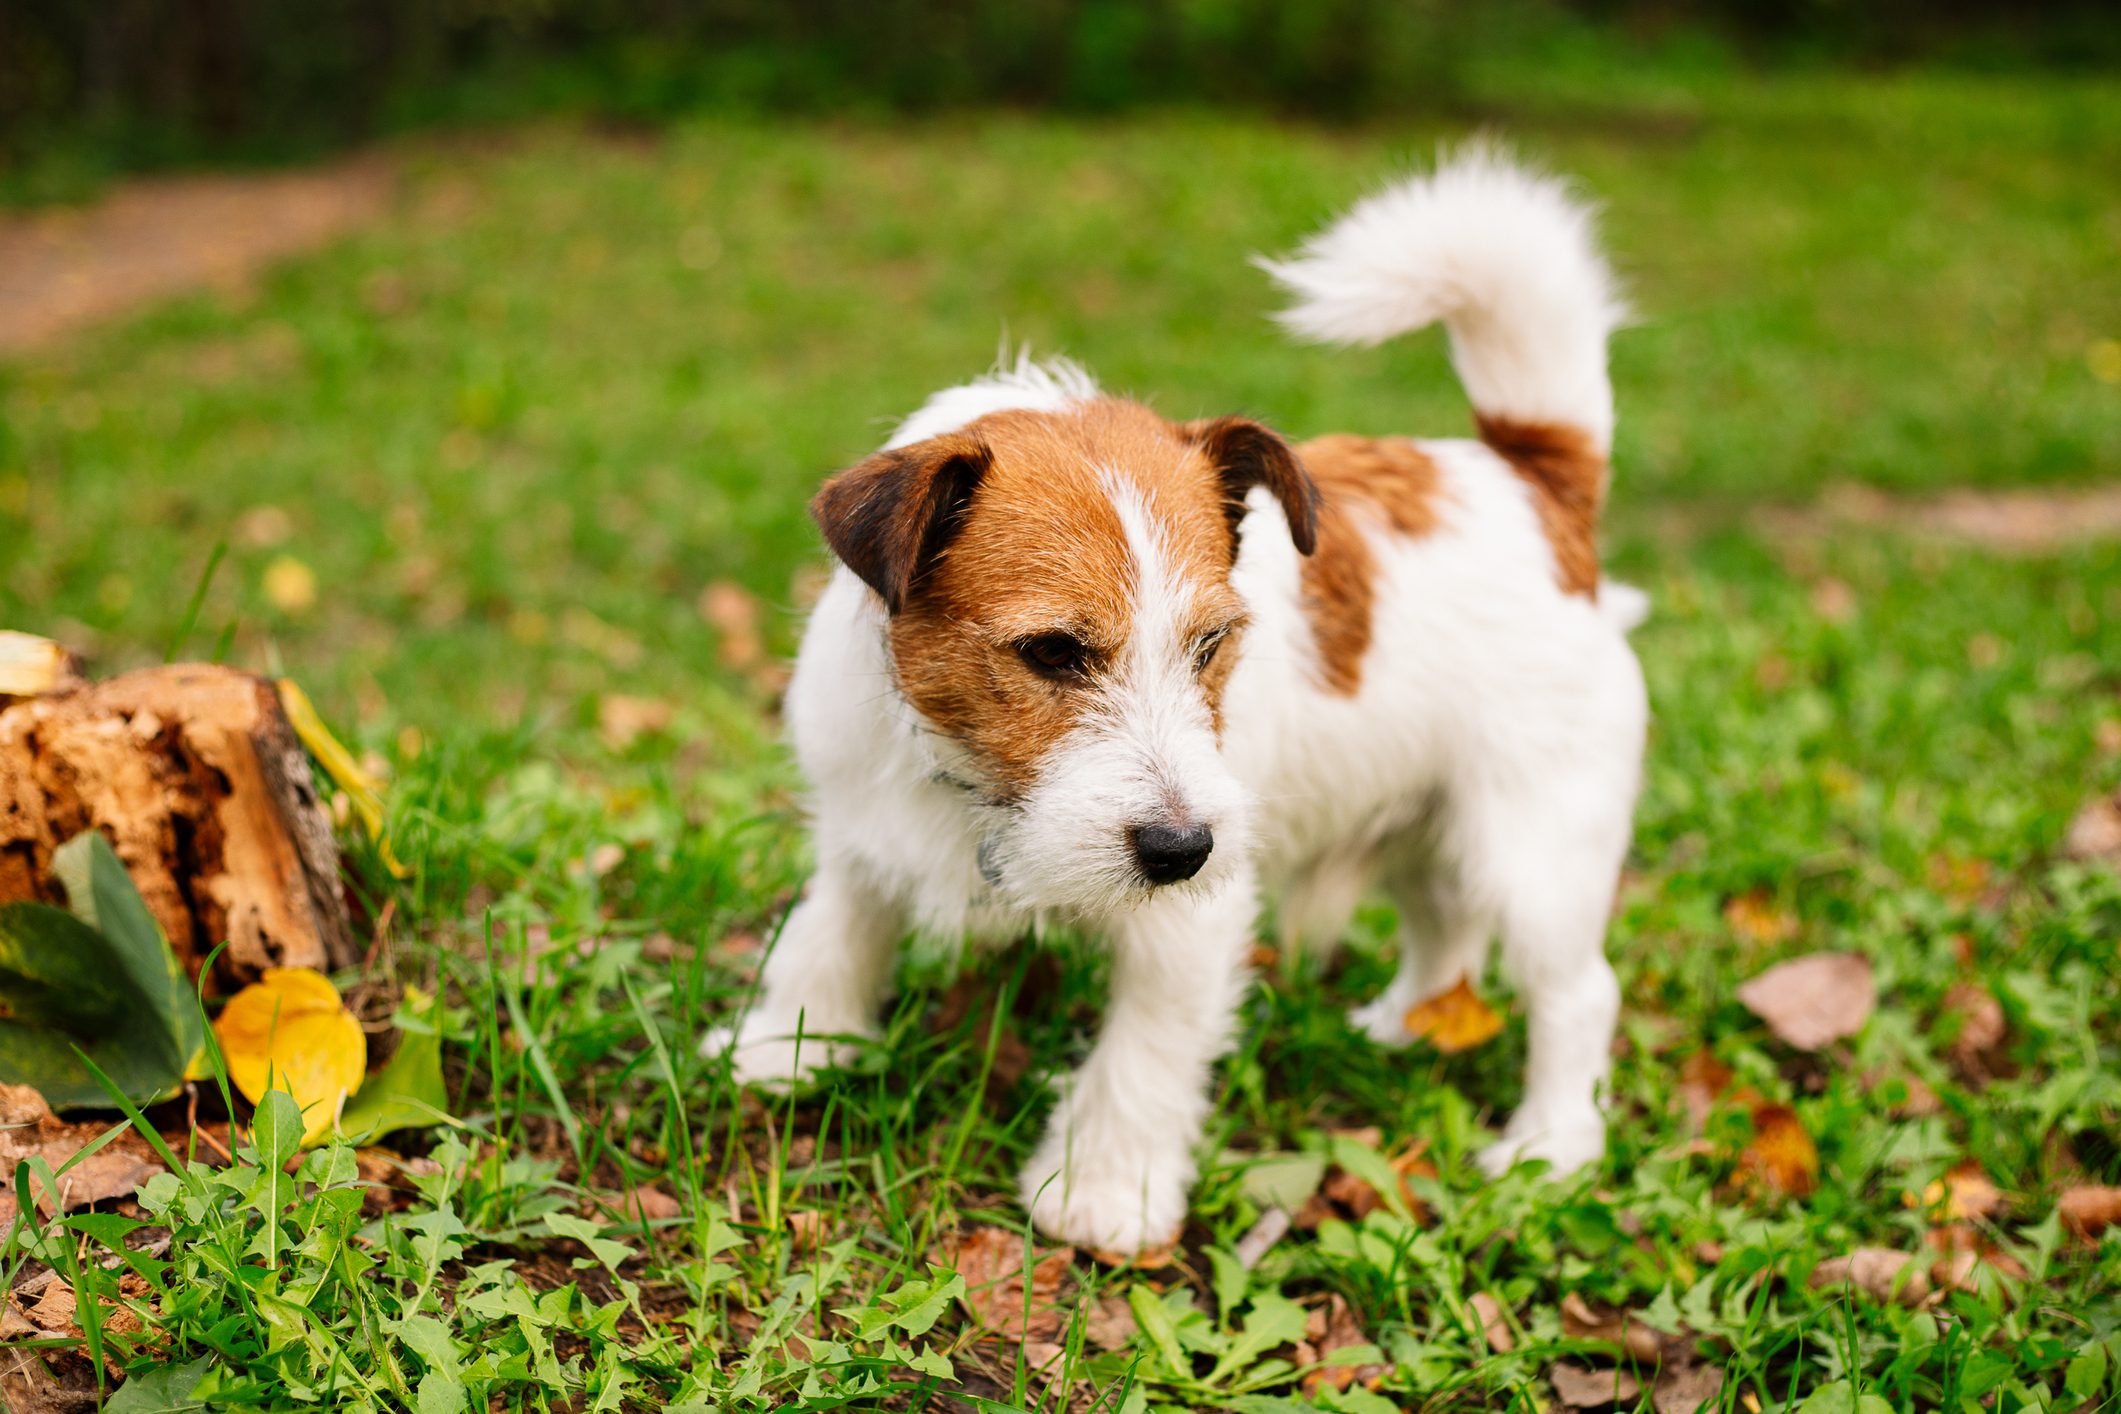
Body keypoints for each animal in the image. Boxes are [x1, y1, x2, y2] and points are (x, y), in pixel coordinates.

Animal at [708, 152, 1637, 1263]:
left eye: (1209, 643)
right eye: (1052, 652)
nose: (1179, 848)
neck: (978, 786)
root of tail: (1532, 480)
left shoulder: (1190, 923)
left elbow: (1142, 1054)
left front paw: (1103, 1189)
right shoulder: (857, 832)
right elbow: (830, 933)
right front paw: (787, 1049)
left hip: (1533, 846)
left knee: (1577, 992)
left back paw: (1551, 1147)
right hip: (1426, 817)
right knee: (1445, 926)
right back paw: (1404, 1027)